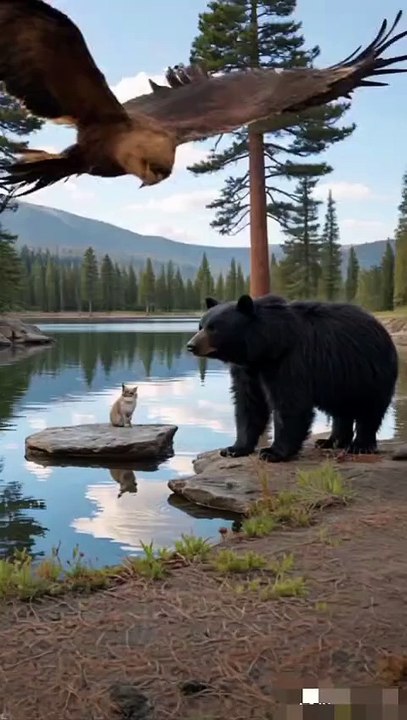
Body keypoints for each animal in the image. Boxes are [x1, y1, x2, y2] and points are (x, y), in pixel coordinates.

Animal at [186, 294, 399, 463]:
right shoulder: (247, 370)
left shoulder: (290, 361)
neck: (263, 350)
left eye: (214, 328)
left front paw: (272, 452)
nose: (191, 345)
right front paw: (234, 448)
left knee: (369, 410)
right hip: (340, 380)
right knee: (341, 411)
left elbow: (290, 403)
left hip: (369, 373)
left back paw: (361, 445)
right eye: (200, 325)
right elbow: (248, 403)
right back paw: (330, 441)